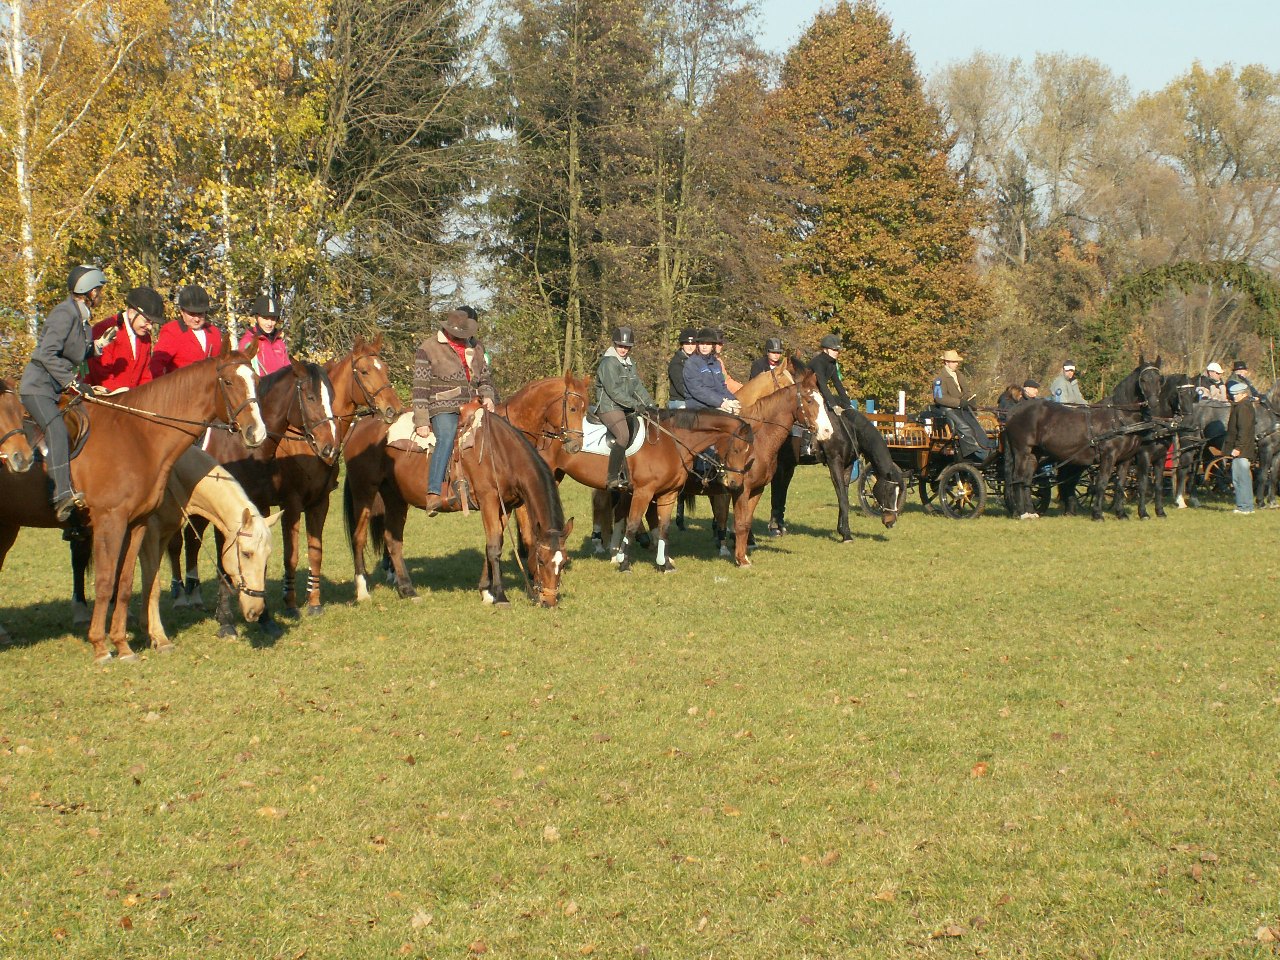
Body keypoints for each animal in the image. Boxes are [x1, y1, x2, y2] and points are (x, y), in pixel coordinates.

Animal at [0, 343, 264, 665]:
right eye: (228, 382)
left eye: (256, 381)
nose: (256, 432)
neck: (138, 435)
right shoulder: (112, 522)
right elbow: (107, 582)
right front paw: (102, 646)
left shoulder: (137, 523)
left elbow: (126, 583)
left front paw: (123, 645)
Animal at [345, 407, 576, 609]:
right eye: (541, 560)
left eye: (564, 563)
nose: (549, 601)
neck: (500, 453)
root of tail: (359, 426)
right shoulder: (489, 500)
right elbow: (494, 547)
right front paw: (500, 596)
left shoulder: (506, 506)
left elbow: (494, 543)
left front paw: (486, 591)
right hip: (364, 491)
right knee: (359, 538)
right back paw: (362, 591)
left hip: (395, 497)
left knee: (393, 541)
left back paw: (408, 591)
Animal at [499, 373, 752, 570]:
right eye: (737, 448)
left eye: (749, 453)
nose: (735, 483)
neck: (671, 442)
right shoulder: (643, 492)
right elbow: (631, 524)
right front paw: (624, 563)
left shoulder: (668, 494)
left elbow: (664, 528)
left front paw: (664, 564)